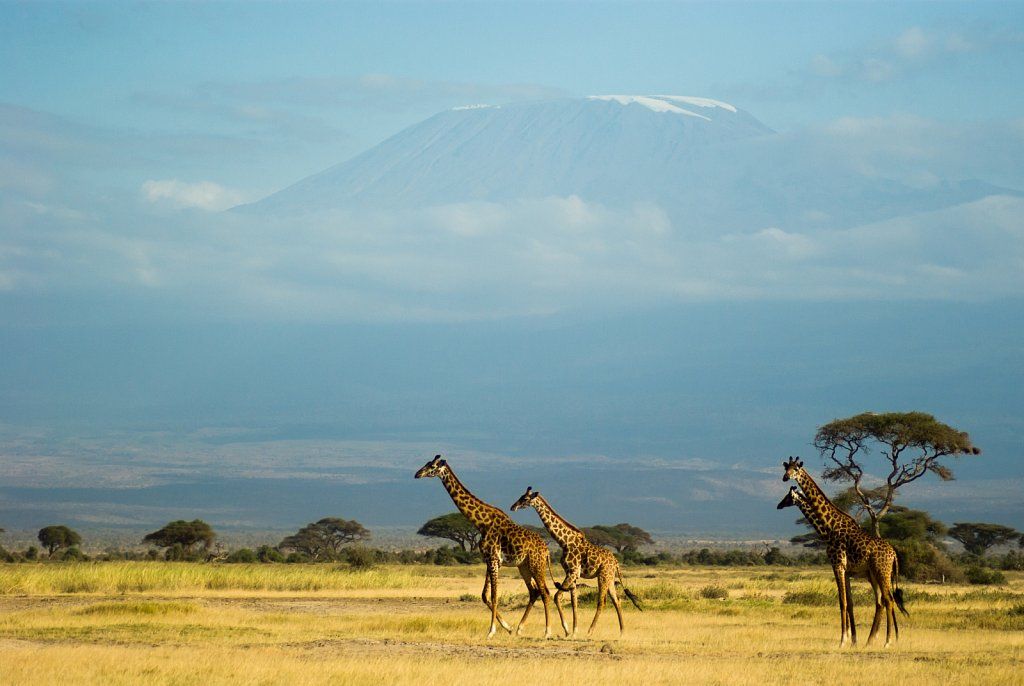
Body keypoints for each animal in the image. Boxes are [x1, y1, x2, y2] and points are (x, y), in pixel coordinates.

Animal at [414, 455, 555, 638]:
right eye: (426, 463)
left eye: (432, 466)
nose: (417, 474)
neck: (481, 523)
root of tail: (546, 551)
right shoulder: (490, 560)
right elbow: (484, 595)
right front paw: (507, 627)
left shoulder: (494, 559)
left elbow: (494, 596)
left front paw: (491, 631)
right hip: (523, 566)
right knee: (534, 591)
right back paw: (519, 628)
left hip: (536, 565)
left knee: (545, 592)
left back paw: (547, 631)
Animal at [511, 486, 642, 637]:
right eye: (520, 496)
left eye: (525, 498)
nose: (513, 507)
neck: (564, 541)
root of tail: (616, 562)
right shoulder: (571, 573)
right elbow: (574, 602)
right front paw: (574, 631)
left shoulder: (572, 572)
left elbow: (557, 597)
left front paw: (567, 630)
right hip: (609, 577)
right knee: (617, 600)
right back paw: (622, 632)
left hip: (603, 576)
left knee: (602, 602)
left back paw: (590, 631)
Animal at [780, 457, 909, 647]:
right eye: (786, 468)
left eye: (795, 469)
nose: (784, 477)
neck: (829, 528)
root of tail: (893, 554)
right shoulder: (847, 570)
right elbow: (850, 603)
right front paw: (852, 640)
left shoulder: (838, 565)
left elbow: (842, 602)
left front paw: (842, 640)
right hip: (874, 574)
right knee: (881, 602)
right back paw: (870, 640)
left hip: (882, 571)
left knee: (889, 600)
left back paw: (887, 641)